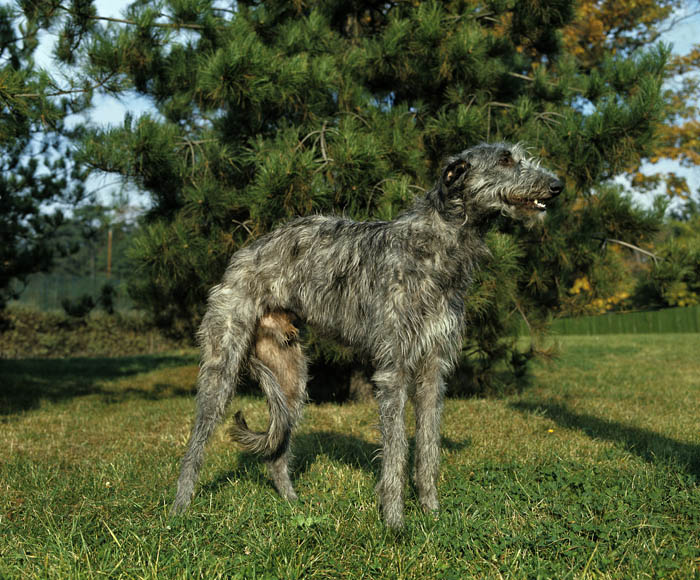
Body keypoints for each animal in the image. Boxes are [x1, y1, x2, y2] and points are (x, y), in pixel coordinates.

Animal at [172, 142, 568, 532]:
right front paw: (394, 523)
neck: (438, 245)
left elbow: (428, 446)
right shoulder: (394, 369)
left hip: (291, 377)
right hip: (223, 365)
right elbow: (396, 450)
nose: (557, 185)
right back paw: (179, 510)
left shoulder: (433, 368)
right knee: (196, 443)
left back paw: (292, 504)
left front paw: (431, 512)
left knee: (278, 448)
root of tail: (242, 254)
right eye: (505, 160)